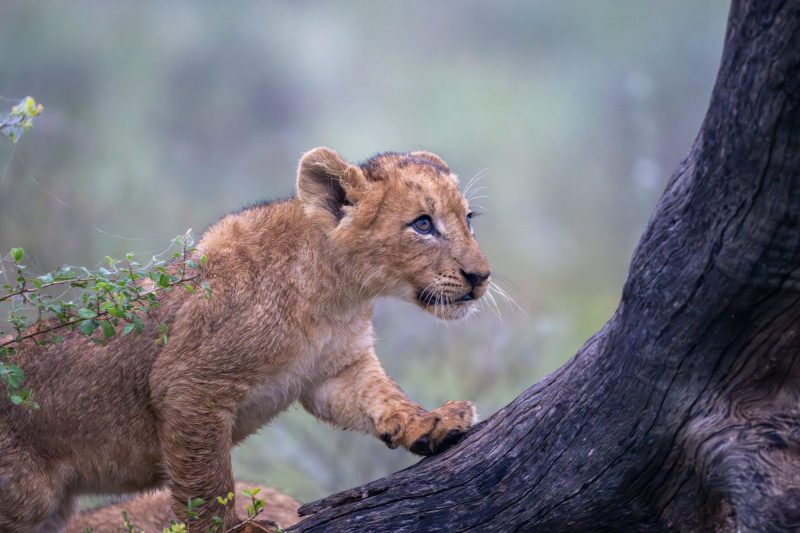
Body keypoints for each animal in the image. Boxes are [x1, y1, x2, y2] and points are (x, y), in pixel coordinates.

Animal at [0, 147, 490, 531]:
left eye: (468, 219)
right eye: (423, 224)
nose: (480, 277)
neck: (337, 293)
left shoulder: (335, 371)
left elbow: (382, 398)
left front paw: (432, 423)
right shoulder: (189, 383)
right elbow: (207, 480)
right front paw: (233, 528)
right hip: (25, 493)